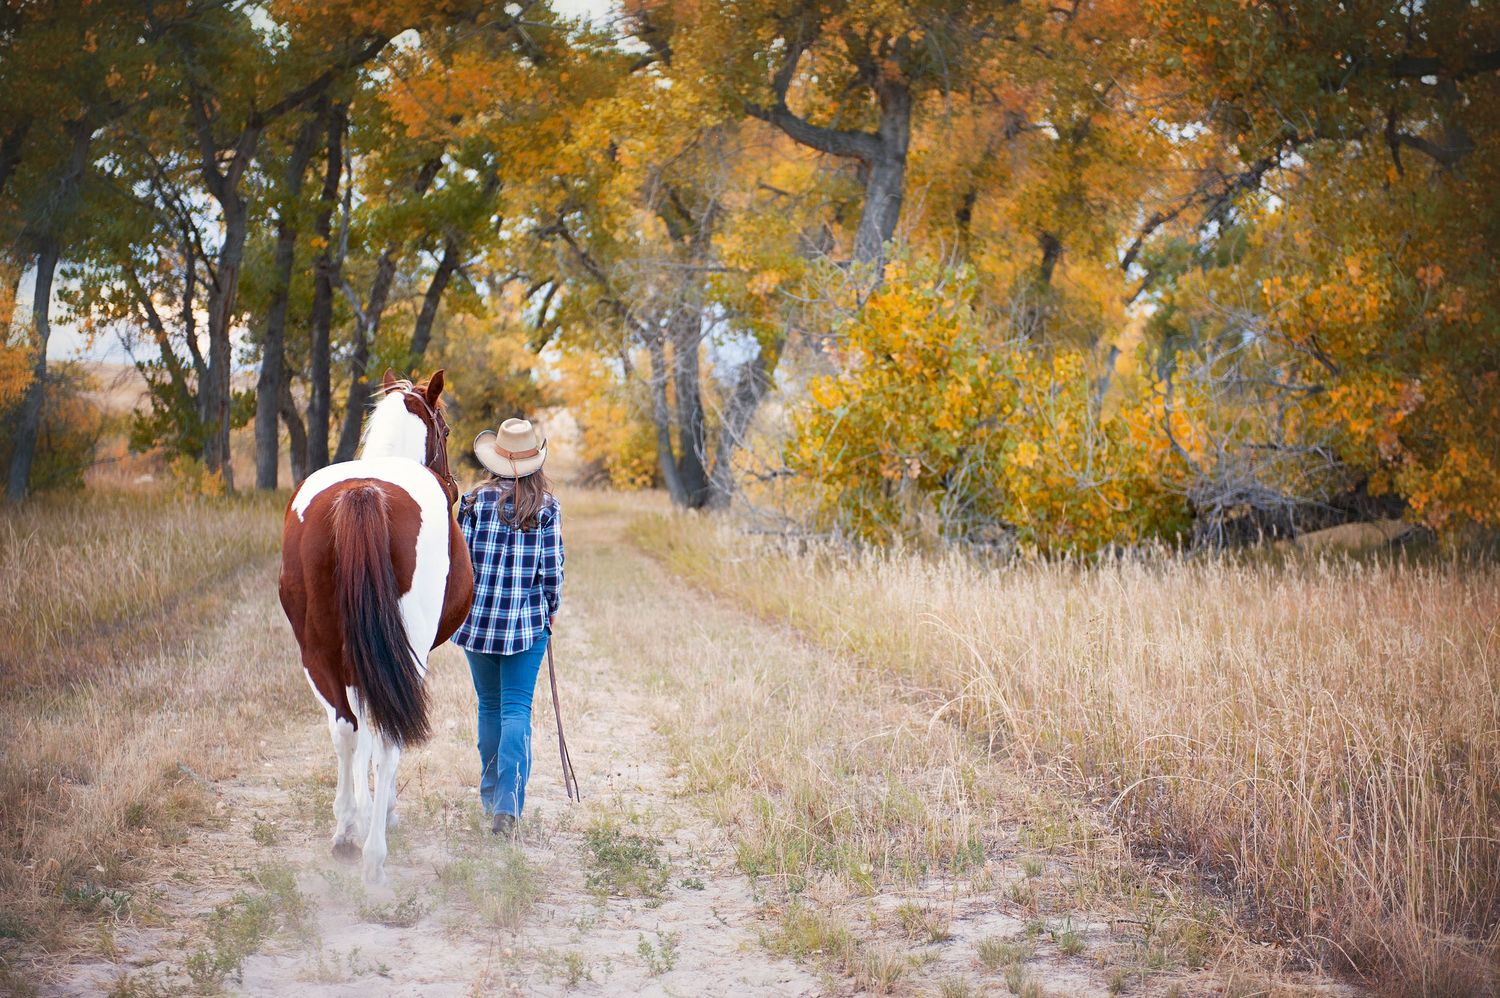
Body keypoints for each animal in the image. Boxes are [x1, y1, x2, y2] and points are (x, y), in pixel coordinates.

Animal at [278, 368, 474, 885]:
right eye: (446, 430)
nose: (456, 491)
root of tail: (363, 493)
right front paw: (380, 811)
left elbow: (358, 728)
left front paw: (362, 810)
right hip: (406, 653)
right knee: (388, 737)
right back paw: (374, 852)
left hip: (317, 653)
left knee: (345, 727)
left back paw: (347, 834)